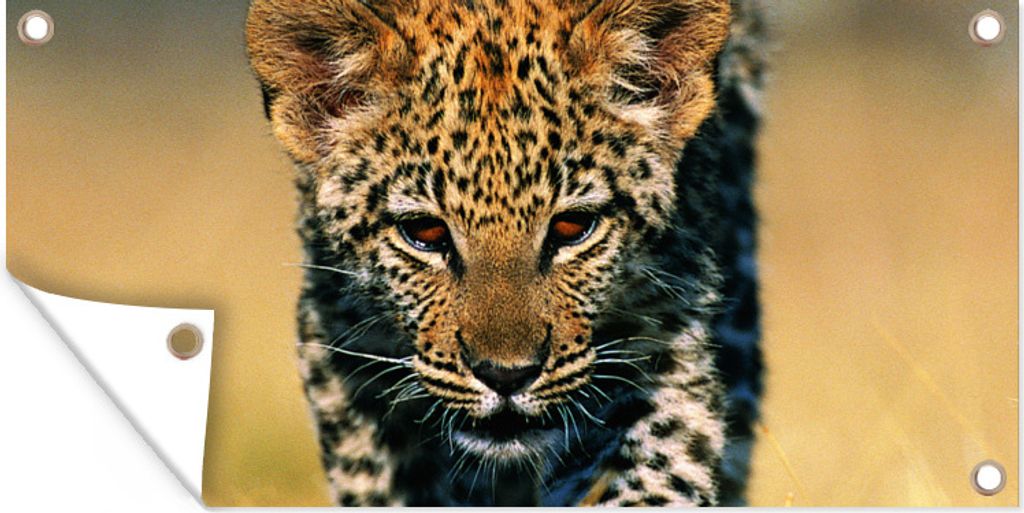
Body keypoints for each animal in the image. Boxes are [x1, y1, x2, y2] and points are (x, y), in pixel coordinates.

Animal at [246, 0, 764, 506]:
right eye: (425, 233)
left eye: (573, 228)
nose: (506, 377)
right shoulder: (342, 351)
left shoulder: (665, 334)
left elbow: (654, 466)